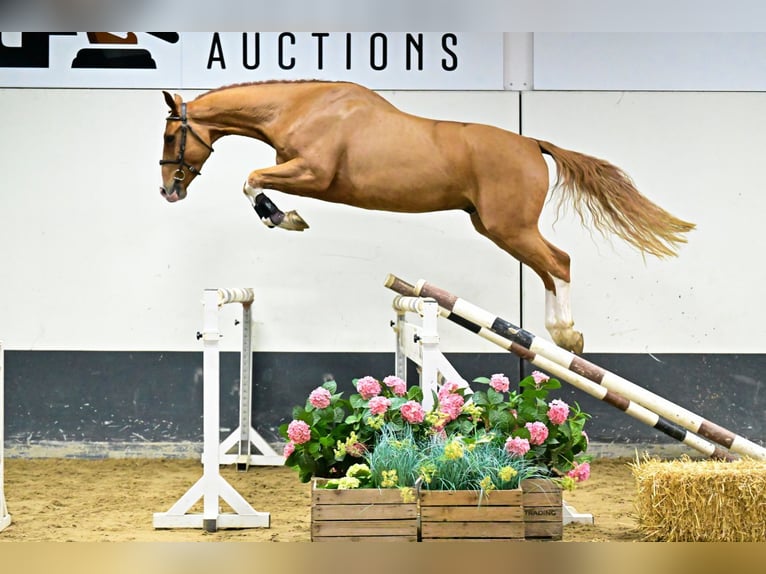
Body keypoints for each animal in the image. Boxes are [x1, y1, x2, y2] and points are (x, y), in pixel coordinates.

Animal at [159, 80, 694, 354]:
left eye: (169, 136)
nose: (168, 190)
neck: (301, 107)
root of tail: (532, 144)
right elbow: (253, 179)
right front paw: (283, 216)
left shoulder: (312, 174)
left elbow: (251, 179)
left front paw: (282, 217)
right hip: (495, 227)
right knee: (548, 268)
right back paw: (559, 336)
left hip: (510, 226)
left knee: (559, 262)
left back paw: (566, 334)